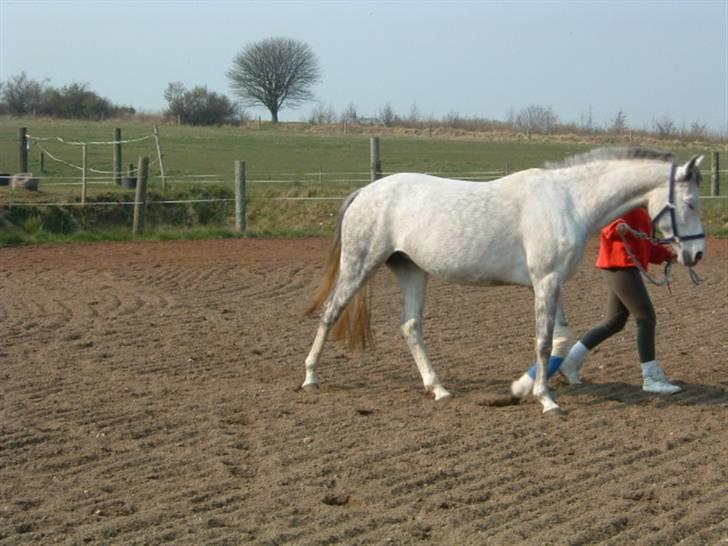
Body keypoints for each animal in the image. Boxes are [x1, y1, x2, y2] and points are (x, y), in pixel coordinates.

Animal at [302, 148, 705, 414]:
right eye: (690, 203)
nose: (697, 254)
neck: (568, 202)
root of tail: (365, 192)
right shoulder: (545, 281)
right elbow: (543, 341)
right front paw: (546, 400)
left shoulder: (553, 282)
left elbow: (562, 339)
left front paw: (522, 387)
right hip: (359, 265)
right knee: (330, 313)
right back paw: (310, 377)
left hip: (411, 270)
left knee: (410, 326)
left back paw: (438, 388)